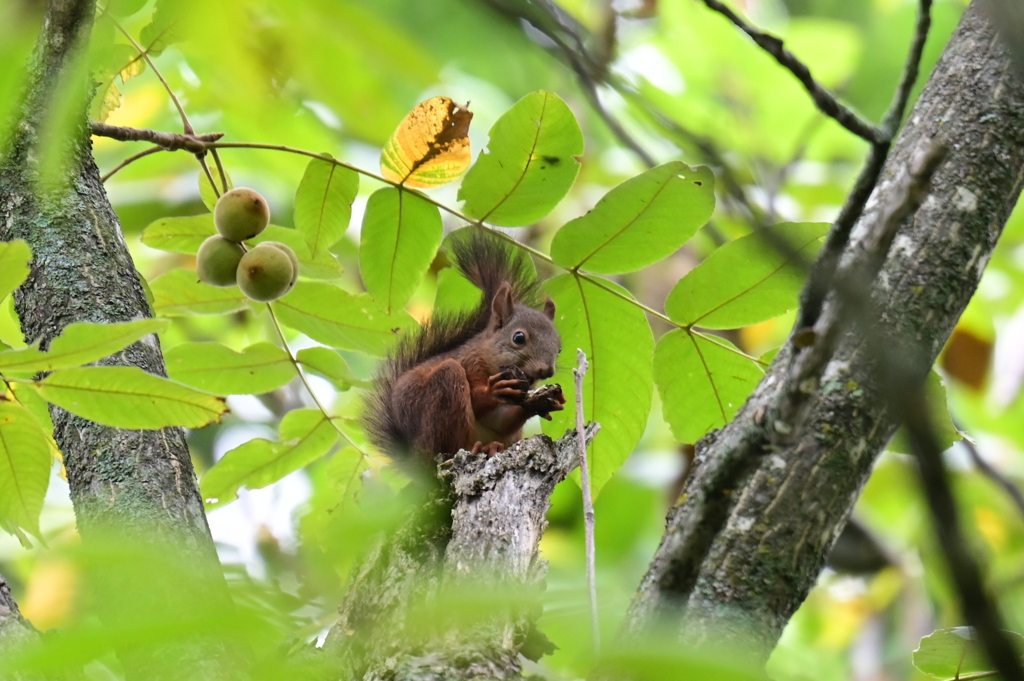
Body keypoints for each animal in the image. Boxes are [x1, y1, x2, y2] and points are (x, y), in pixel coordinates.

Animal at [364, 228, 565, 466]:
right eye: (518, 337)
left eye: (559, 348)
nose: (547, 370)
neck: (487, 358)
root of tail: (413, 461)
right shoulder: (469, 362)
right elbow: (478, 401)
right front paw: (493, 390)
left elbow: (501, 421)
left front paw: (543, 403)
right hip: (444, 392)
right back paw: (475, 447)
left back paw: (493, 446)